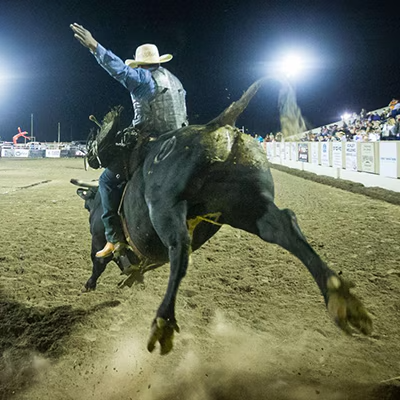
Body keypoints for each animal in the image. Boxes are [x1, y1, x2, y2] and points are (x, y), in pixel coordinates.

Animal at [71, 79, 372, 354]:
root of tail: (212, 126)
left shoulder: (98, 237)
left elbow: (99, 261)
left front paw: (90, 285)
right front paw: (131, 277)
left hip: (165, 208)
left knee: (179, 247)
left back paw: (163, 321)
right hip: (247, 207)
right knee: (284, 227)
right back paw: (341, 297)